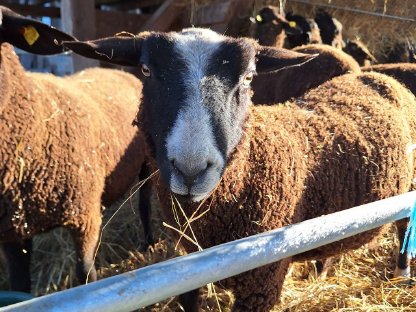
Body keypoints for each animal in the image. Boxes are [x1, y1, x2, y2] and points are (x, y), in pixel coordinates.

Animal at [0, 6, 152, 292]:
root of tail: (119, 71)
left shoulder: (84, 216)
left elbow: (85, 275)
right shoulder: (13, 233)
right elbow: (20, 286)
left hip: (148, 163)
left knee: (146, 205)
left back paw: (149, 245)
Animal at [62, 27, 416, 312]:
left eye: (248, 78)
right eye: (147, 70)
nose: (191, 170)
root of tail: (378, 77)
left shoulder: (262, 280)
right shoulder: (185, 268)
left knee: (404, 227)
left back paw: (400, 275)